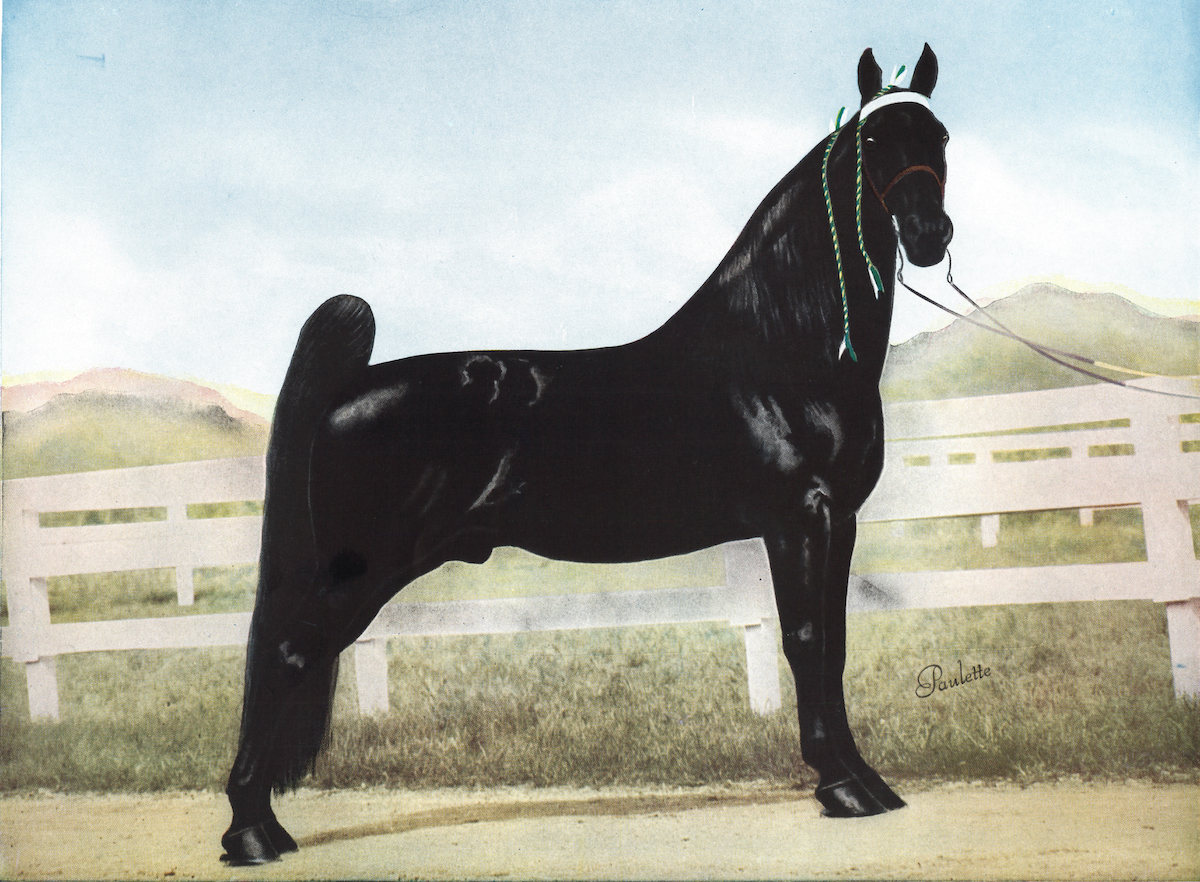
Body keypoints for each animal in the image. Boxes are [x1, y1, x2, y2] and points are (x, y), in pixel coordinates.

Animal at [222, 44, 952, 865]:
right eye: (872, 142)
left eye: (940, 138)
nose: (930, 233)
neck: (780, 351)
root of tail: (350, 389)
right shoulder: (801, 519)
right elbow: (808, 642)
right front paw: (843, 787)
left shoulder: (834, 523)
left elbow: (834, 645)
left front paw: (864, 781)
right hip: (361, 569)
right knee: (284, 655)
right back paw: (251, 831)